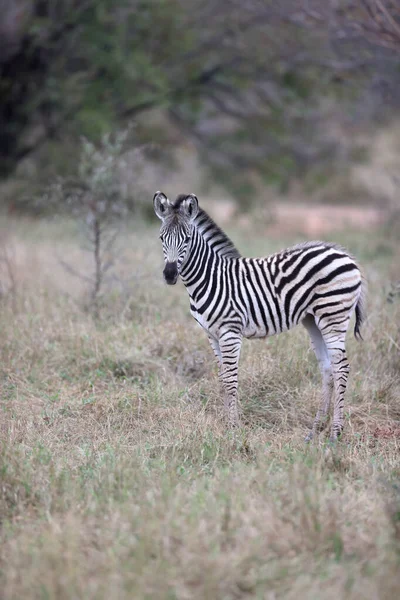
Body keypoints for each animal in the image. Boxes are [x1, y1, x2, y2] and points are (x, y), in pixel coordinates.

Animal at [153, 192, 366, 440]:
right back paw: (314, 432)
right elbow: (222, 378)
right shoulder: (211, 334)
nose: (169, 275)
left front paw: (233, 429)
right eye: (161, 238)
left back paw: (335, 434)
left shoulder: (230, 332)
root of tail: (344, 254)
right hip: (313, 320)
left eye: (186, 239)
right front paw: (226, 423)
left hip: (333, 316)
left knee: (342, 368)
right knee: (328, 368)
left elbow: (231, 380)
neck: (209, 278)